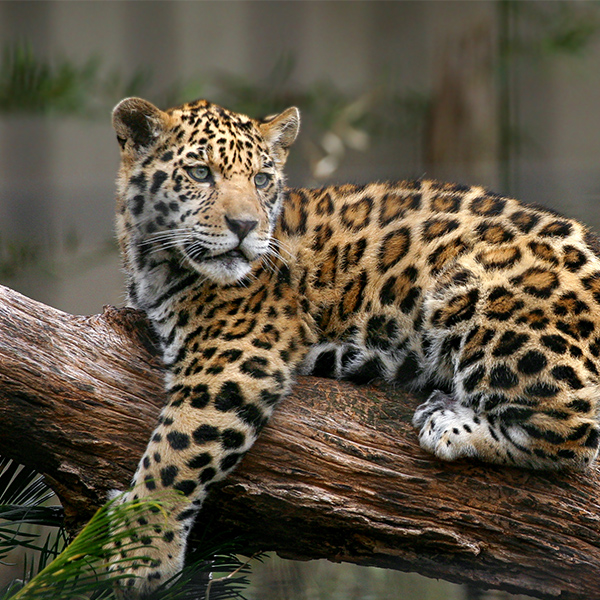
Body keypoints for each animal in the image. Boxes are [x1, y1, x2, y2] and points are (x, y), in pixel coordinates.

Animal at [110, 98, 600, 596]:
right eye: (200, 173)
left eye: (262, 180)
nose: (245, 226)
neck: (154, 264)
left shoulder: (237, 354)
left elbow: (177, 450)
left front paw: (140, 551)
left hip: (476, 291)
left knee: (577, 430)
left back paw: (449, 422)